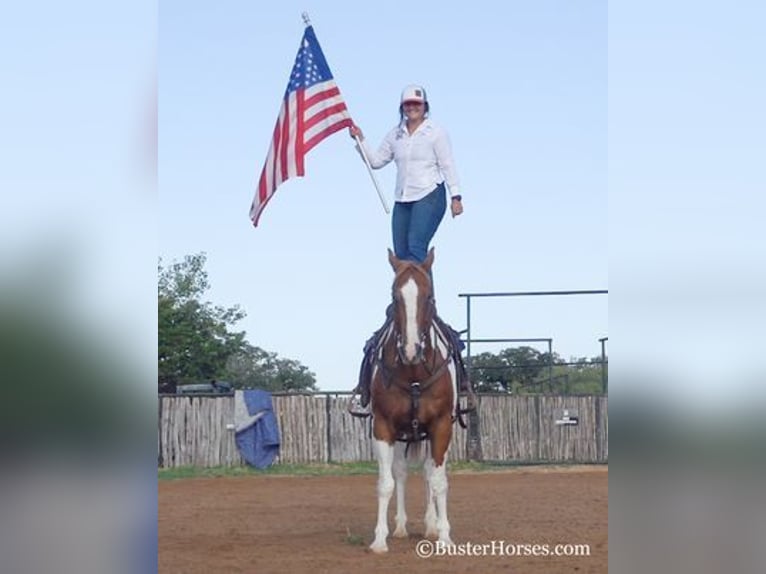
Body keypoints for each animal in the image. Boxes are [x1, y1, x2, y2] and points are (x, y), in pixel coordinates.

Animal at [370, 250, 460, 556]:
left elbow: (439, 481)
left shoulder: (441, 426)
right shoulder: (383, 427)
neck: (413, 373)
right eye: (394, 295)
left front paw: (444, 537)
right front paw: (380, 539)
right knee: (400, 473)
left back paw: (432, 526)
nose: (411, 350)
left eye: (429, 295)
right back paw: (400, 527)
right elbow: (385, 483)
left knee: (429, 472)